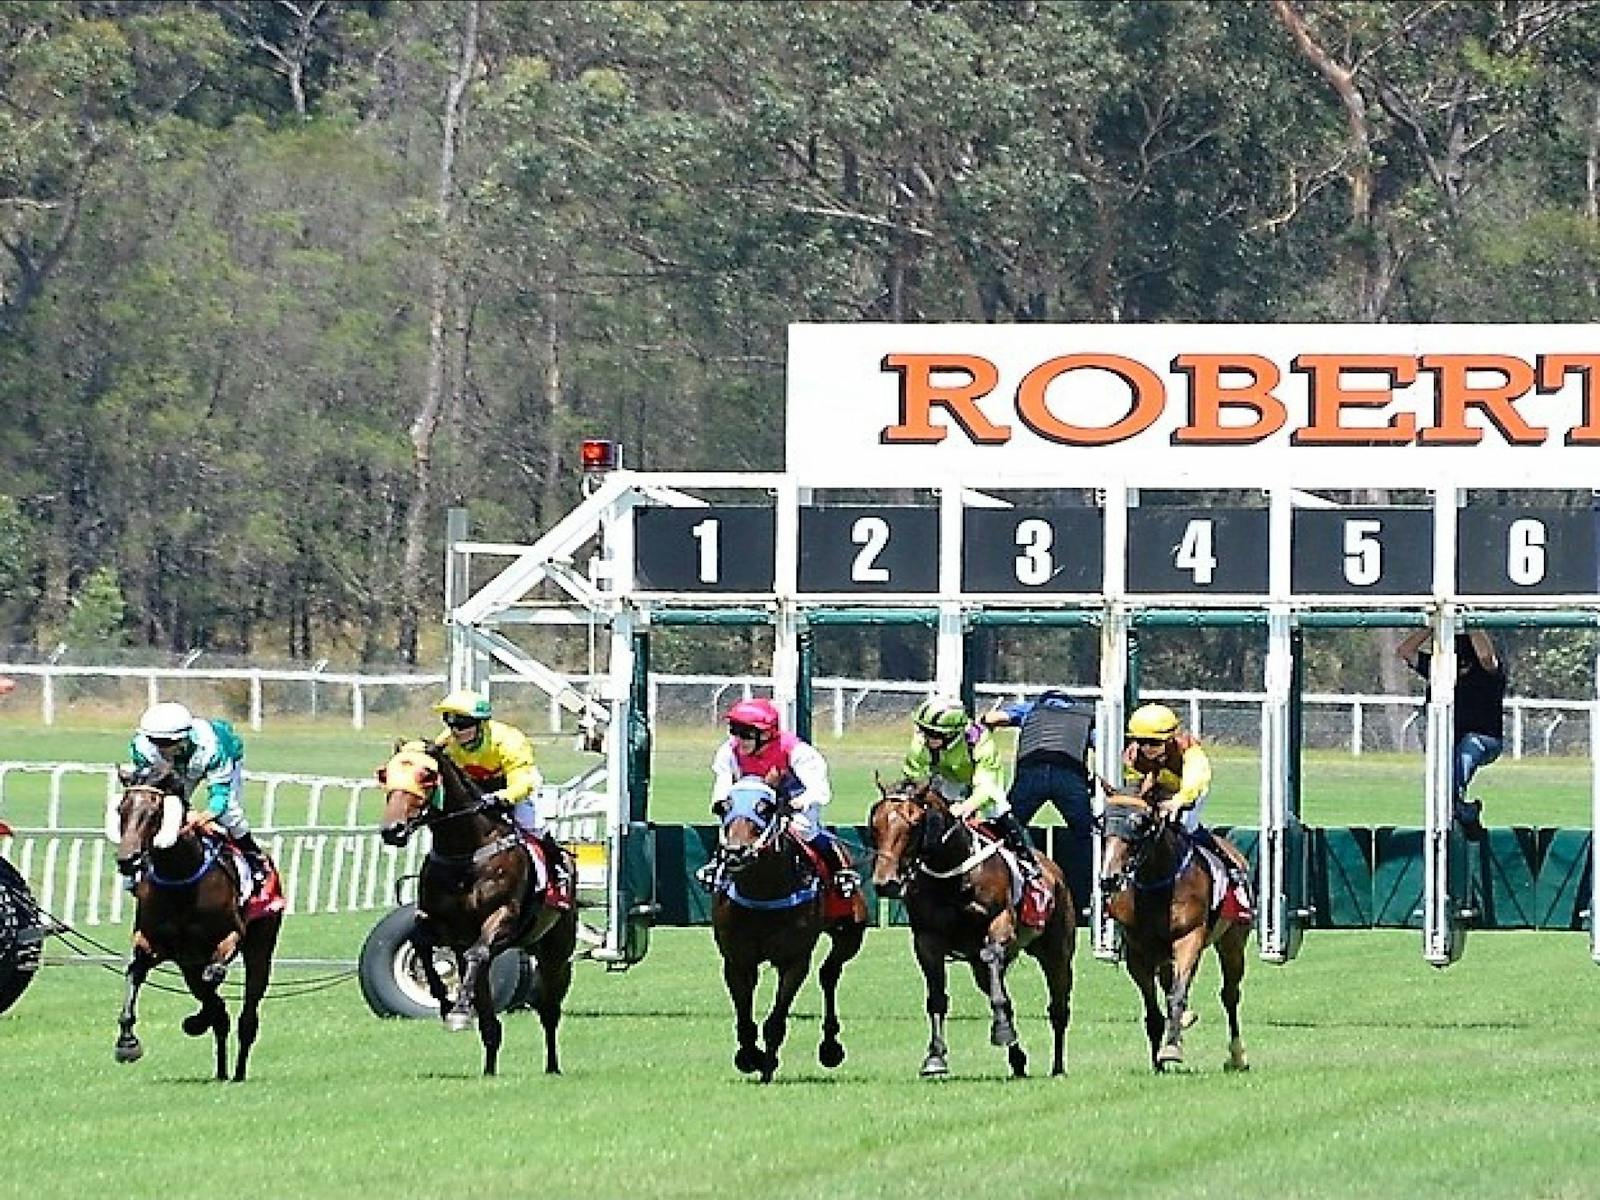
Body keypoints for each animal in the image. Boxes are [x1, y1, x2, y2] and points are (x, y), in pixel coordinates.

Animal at [112, 764, 284, 1088]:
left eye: (155, 813)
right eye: (121, 809)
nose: (127, 860)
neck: (180, 878)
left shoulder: (231, 936)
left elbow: (214, 976)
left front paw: (198, 1020)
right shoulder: (153, 945)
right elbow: (134, 974)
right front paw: (127, 1043)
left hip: (260, 947)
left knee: (247, 1017)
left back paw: (237, 1072)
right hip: (188, 963)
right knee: (218, 1010)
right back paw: (221, 1069)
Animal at [377, 742, 579, 1081]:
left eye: (427, 775)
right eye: (385, 774)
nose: (393, 829)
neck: (465, 852)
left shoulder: (503, 917)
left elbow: (477, 952)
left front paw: (458, 1010)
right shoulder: (438, 924)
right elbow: (423, 946)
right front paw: (446, 1003)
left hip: (556, 953)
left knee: (549, 1011)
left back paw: (552, 1066)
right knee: (490, 1022)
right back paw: (489, 1068)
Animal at [710, 774, 870, 1088]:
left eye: (766, 807)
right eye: (724, 807)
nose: (735, 852)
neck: (762, 891)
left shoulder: (794, 960)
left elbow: (776, 1019)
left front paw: (767, 1063)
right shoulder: (737, 960)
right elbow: (744, 1017)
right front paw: (750, 1056)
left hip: (849, 936)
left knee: (829, 974)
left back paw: (830, 1046)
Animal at [864, 780, 1075, 1081]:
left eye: (914, 823)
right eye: (875, 823)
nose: (886, 882)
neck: (953, 873)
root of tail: (1054, 871)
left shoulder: (1000, 925)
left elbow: (992, 959)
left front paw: (1000, 1031)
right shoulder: (927, 941)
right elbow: (937, 999)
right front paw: (935, 1057)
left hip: (1057, 952)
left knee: (1058, 1008)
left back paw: (1057, 1066)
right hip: (981, 968)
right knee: (1007, 999)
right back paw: (1017, 1058)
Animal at [1100, 774, 1248, 1075]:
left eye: (1139, 822)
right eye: (1103, 821)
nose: (1109, 878)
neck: (1158, 882)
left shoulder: (1189, 938)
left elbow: (1177, 995)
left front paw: (1170, 1049)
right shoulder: (1138, 950)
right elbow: (1153, 1009)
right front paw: (1158, 1060)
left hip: (1232, 941)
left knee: (1230, 994)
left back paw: (1237, 1055)